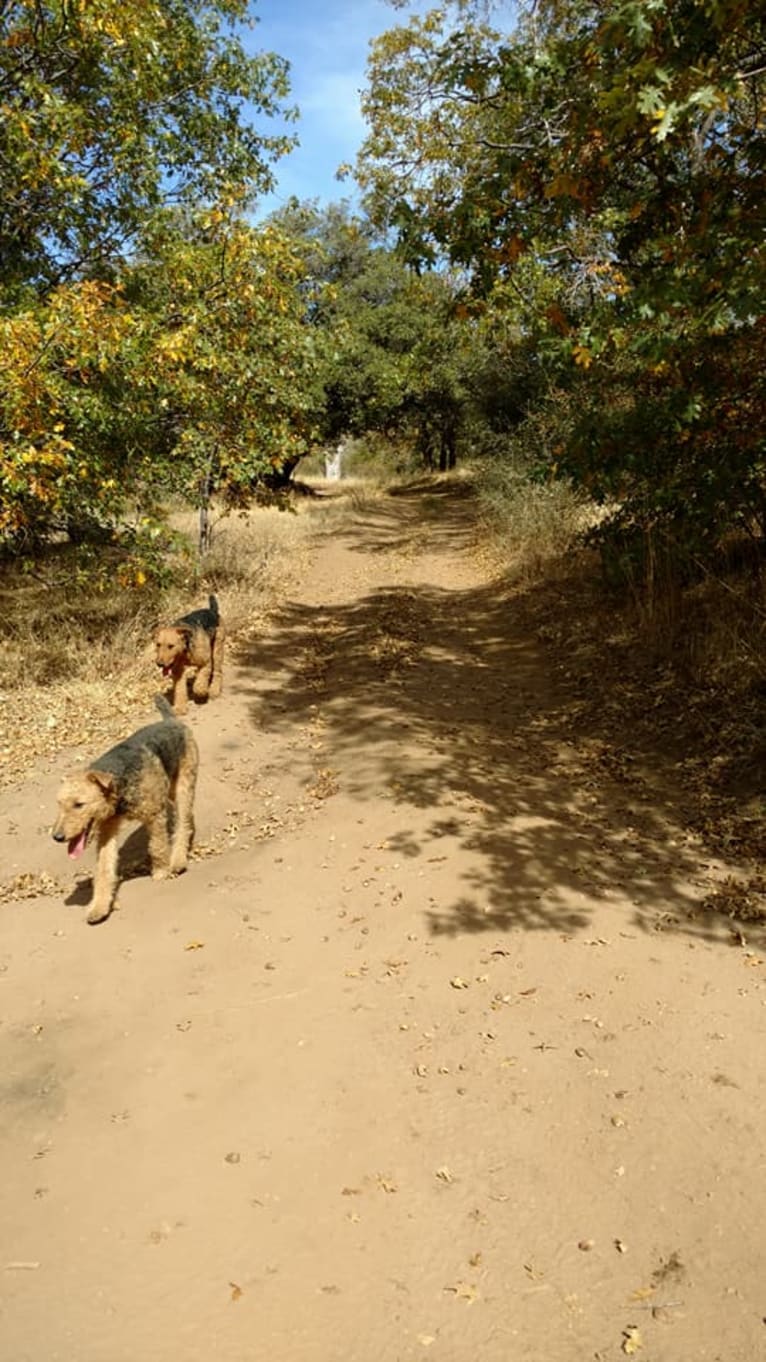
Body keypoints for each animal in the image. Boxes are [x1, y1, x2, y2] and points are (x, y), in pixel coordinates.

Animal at [51, 691, 197, 926]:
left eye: (79, 804)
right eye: (59, 804)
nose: (57, 837)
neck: (118, 785)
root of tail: (171, 720)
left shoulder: (154, 815)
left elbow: (157, 846)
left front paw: (160, 871)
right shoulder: (107, 829)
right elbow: (104, 868)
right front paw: (99, 908)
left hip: (184, 784)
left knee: (183, 821)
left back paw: (177, 861)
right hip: (172, 790)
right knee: (186, 818)